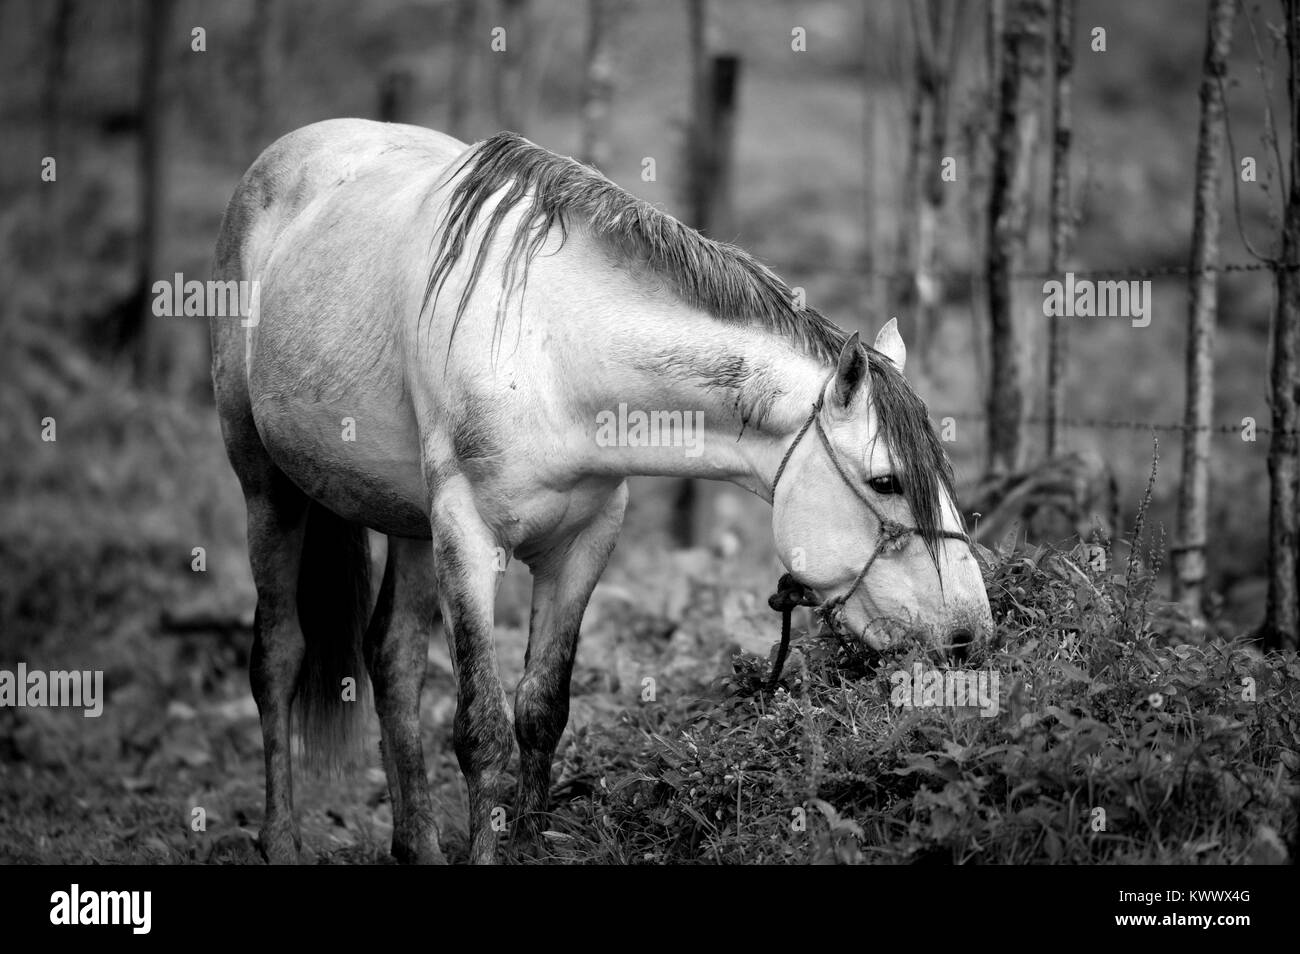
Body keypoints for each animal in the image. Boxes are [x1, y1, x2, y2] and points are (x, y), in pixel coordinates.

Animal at [208, 117, 987, 868]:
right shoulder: (467, 535)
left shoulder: (583, 542)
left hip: (410, 526)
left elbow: (541, 711)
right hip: (267, 489)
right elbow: (481, 730)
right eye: (886, 482)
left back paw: (417, 846)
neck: (553, 349)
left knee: (393, 663)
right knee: (278, 656)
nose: (969, 633)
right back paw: (282, 842)